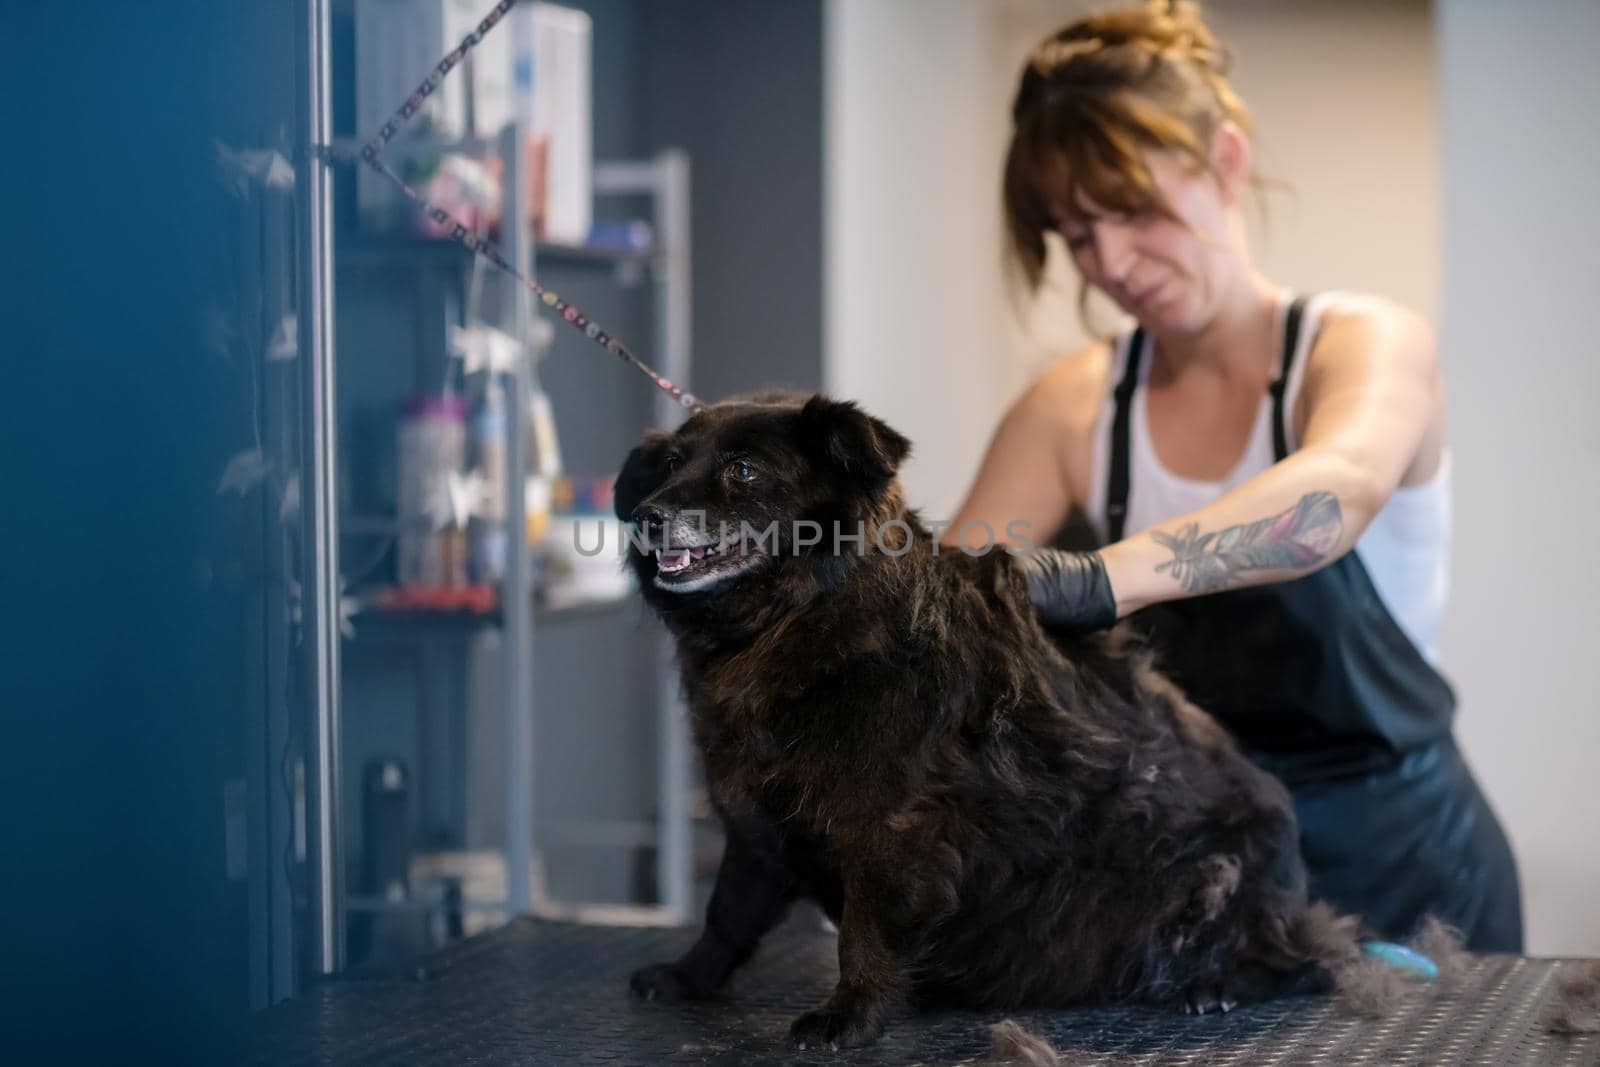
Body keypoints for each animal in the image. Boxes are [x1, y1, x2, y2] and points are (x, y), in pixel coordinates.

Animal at [611, 395, 1363, 1049]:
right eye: (671, 462)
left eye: (743, 470)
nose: (647, 515)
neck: (796, 618)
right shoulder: (758, 826)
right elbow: (726, 913)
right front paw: (689, 977)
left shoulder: (894, 831)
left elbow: (863, 934)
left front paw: (849, 1016)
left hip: (1218, 880)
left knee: (1310, 960)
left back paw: (1215, 984)